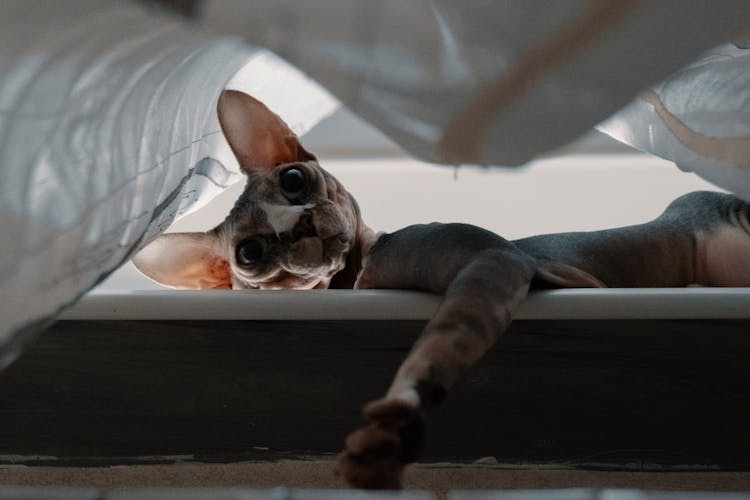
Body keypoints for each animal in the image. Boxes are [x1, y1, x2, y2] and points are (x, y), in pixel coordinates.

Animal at [134, 90, 750, 488]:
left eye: (293, 179)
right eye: (250, 253)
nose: (301, 225)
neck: (357, 275)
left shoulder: (492, 259)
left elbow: (438, 345)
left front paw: (395, 424)